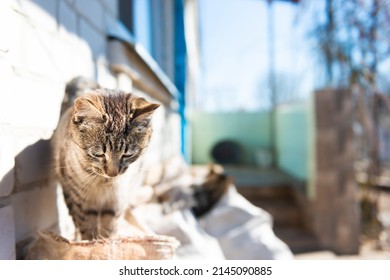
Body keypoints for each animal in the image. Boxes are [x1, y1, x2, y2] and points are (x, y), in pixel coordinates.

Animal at [52, 88, 159, 240]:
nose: (113, 174)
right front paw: (90, 243)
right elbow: (87, 228)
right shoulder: (82, 203)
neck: (103, 182)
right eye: (99, 154)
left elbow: (109, 228)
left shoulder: (116, 203)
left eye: (127, 155)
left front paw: (108, 242)